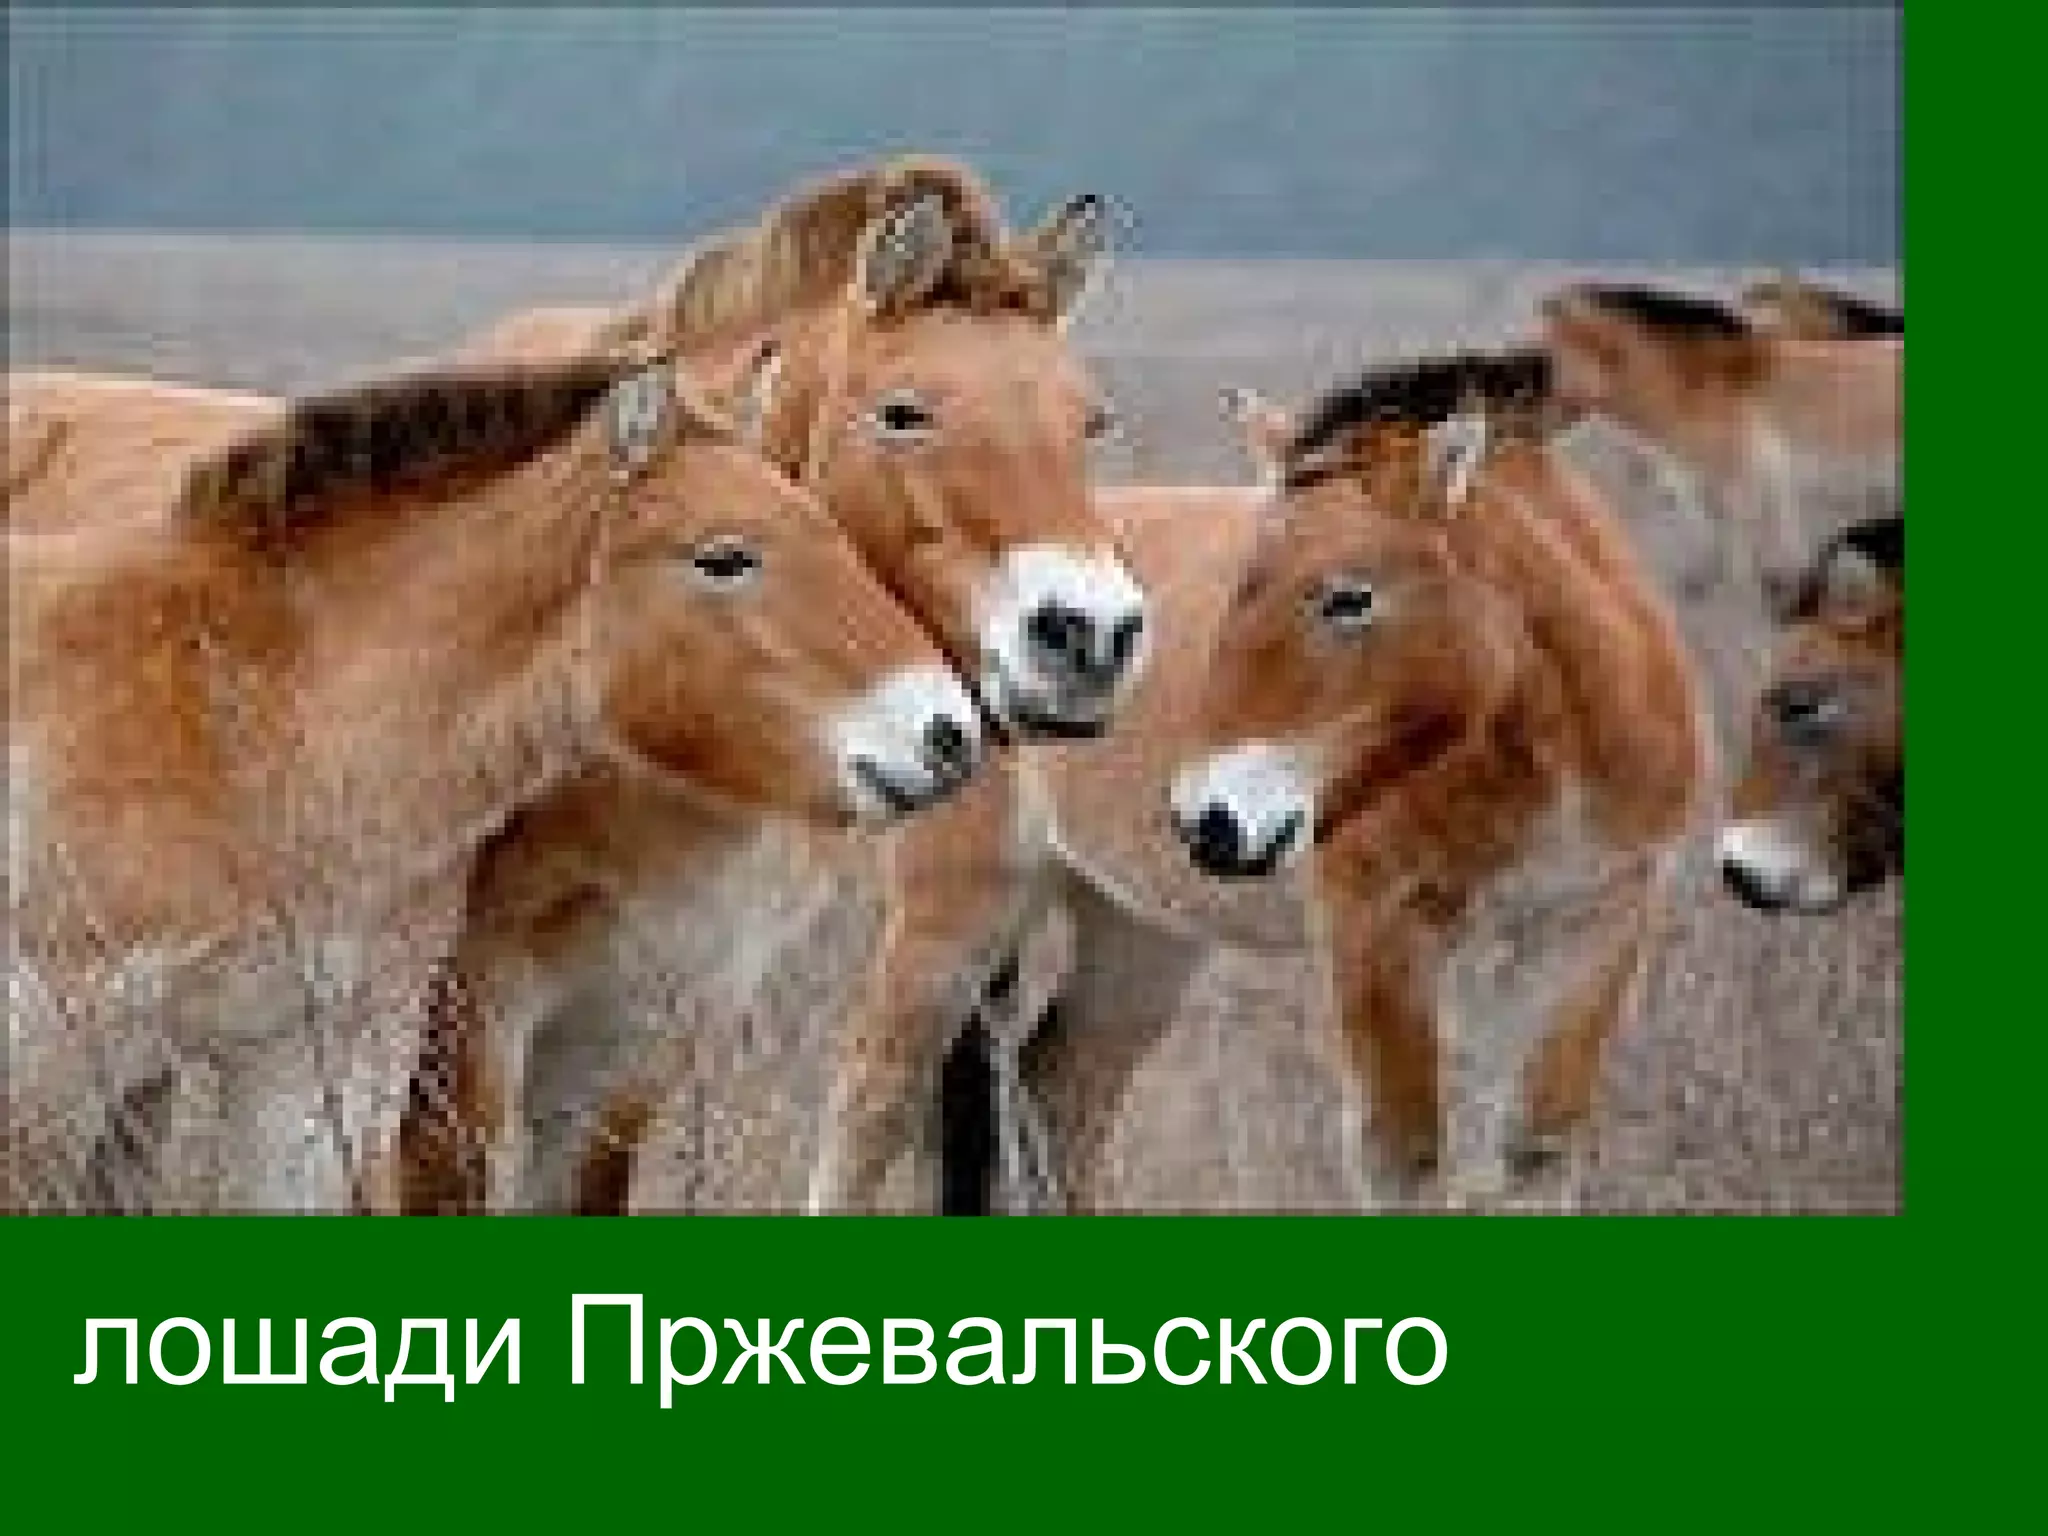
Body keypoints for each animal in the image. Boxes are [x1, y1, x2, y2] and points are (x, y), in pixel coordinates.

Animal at [806, 351, 1707, 1212]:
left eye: (1350, 597)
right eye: (1242, 584)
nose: (1209, 820)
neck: (1542, 751)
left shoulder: (1593, 927)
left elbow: (1534, 1154)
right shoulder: (1378, 934)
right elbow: (1403, 1159)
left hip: (1141, 932)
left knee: (1061, 1092)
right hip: (957, 914)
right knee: (870, 1104)